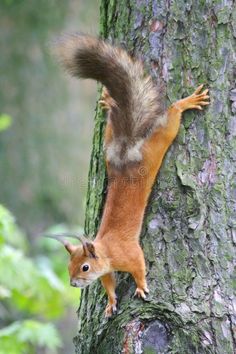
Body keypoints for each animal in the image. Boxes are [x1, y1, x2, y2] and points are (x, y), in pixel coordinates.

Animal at [51, 34, 208, 318]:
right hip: (109, 140)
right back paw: (107, 99)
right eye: (69, 265)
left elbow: (140, 267)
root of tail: (126, 152)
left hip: (156, 144)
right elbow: (108, 283)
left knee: (170, 121)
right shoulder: (107, 271)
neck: (107, 251)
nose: (73, 283)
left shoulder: (130, 253)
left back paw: (186, 102)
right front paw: (111, 301)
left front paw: (141, 286)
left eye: (85, 267)